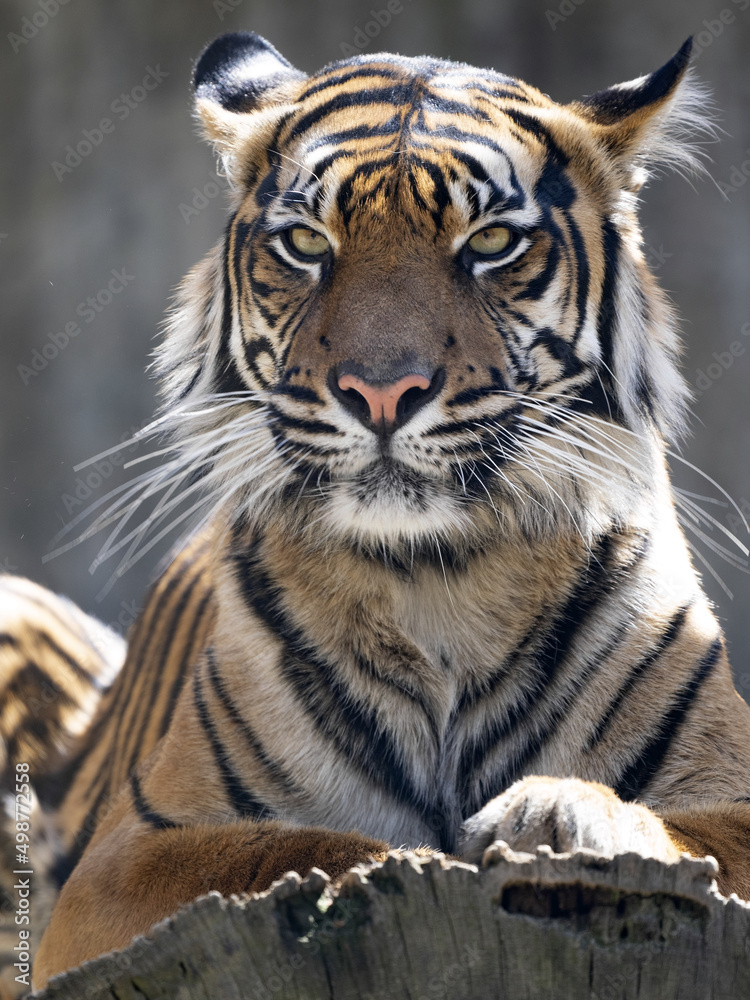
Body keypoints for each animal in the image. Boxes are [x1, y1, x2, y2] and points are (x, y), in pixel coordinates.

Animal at [10, 29, 749, 987]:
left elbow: (685, 831)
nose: (382, 392)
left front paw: (558, 815)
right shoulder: (124, 860)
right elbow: (303, 847)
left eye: (491, 241)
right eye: (305, 242)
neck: (439, 581)